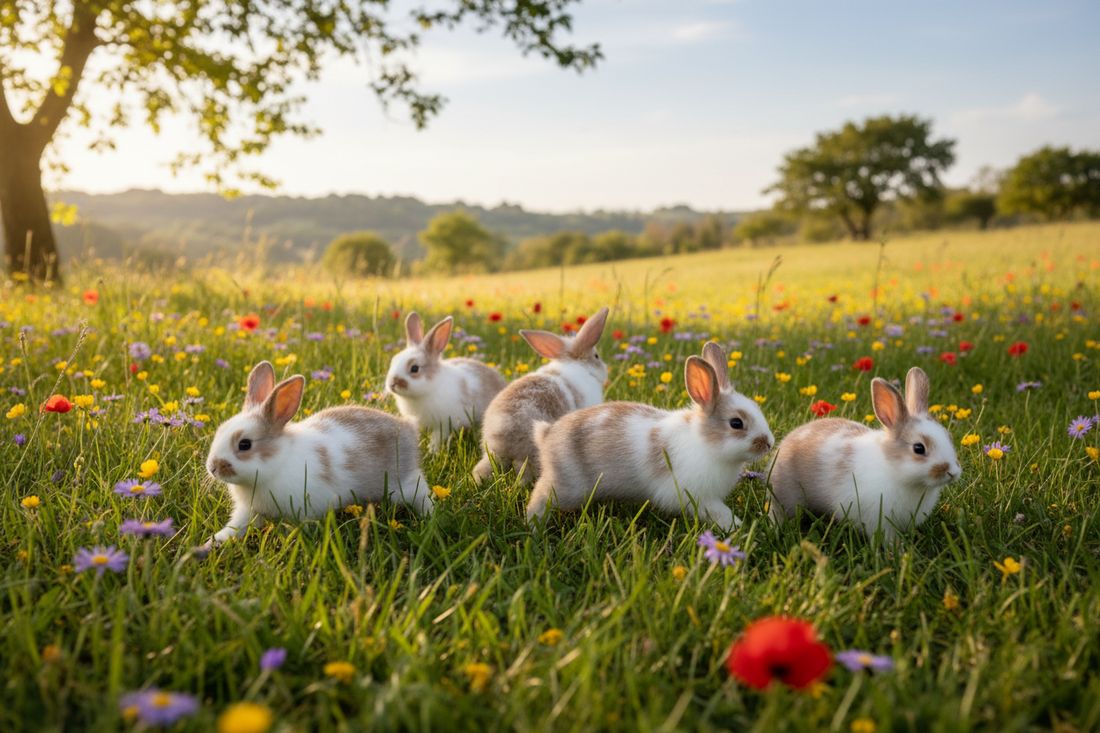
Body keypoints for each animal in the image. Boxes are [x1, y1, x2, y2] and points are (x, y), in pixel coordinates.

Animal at [205, 361, 431, 544]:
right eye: (220, 430)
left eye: (245, 445)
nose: (213, 467)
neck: (279, 460)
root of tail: (408, 427)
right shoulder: (248, 511)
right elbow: (235, 527)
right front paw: (213, 542)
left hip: (402, 484)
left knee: (422, 492)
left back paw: (429, 514)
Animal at [387, 312, 507, 451]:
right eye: (393, 360)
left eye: (415, 368)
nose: (392, 383)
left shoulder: (443, 424)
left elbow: (437, 438)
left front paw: (431, 450)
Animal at [527, 342, 773, 529]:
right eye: (736, 423)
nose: (769, 443)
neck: (704, 441)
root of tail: (546, 435)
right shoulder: (697, 496)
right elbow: (719, 511)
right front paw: (737, 527)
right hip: (568, 487)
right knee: (540, 497)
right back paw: (534, 526)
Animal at [767, 366, 961, 542]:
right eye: (919, 448)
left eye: (949, 436)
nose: (953, 473)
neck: (892, 468)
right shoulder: (877, 521)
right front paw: (897, 551)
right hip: (787, 498)